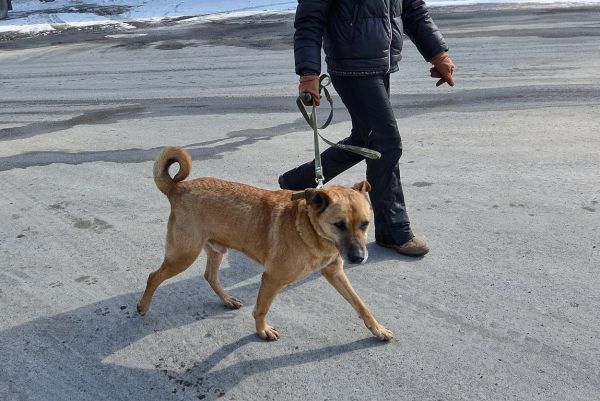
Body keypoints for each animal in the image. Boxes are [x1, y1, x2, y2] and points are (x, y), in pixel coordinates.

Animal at [138, 147, 396, 340]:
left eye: (365, 224)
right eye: (339, 225)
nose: (358, 258)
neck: (309, 228)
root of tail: (178, 188)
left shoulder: (335, 272)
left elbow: (361, 305)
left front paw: (378, 329)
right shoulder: (272, 278)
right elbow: (261, 309)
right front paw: (262, 330)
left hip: (215, 249)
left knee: (209, 276)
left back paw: (226, 299)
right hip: (183, 255)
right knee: (153, 276)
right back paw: (143, 306)